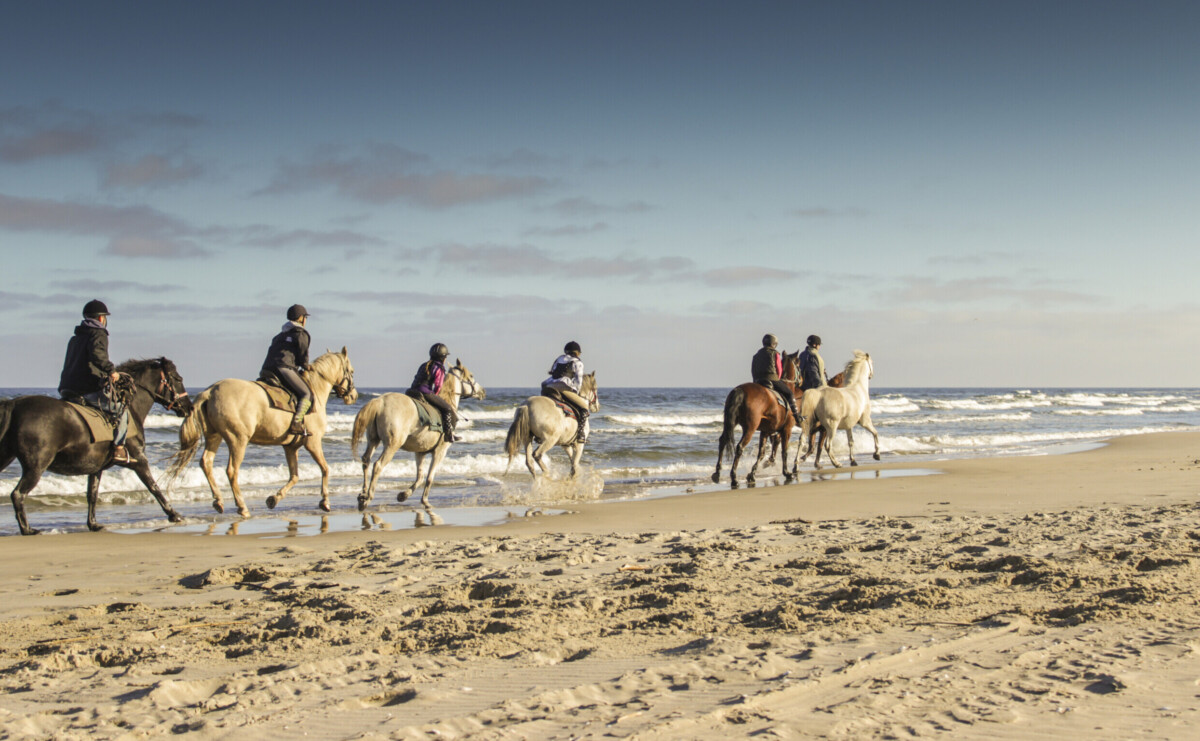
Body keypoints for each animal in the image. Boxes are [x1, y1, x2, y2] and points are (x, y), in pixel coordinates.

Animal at [0, 357, 190, 529]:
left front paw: (93, 524)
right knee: (18, 494)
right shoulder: (139, 460)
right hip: (36, 466)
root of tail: (14, 404)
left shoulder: (96, 467)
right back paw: (28, 530)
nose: (189, 408)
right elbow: (153, 486)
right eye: (178, 379)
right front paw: (174, 515)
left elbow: (92, 494)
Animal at [166, 345, 357, 513]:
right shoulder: (313, 442)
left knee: (206, 462)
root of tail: (211, 391)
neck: (315, 390)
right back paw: (241, 506)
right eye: (352, 371)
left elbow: (294, 476)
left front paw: (274, 499)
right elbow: (325, 468)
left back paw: (219, 500)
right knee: (232, 470)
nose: (353, 396)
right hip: (238, 440)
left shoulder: (291, 447)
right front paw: (325, 501)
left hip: (214, 436)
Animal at [350, 357, 484, 508]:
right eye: (471, 376)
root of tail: (380, 401)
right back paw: (368, 497)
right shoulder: (440, 451)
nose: (483, 392)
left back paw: (362, 496)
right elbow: (430, 477)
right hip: (392, 445)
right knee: (378, 465)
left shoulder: (420, 452)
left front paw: (403, 495)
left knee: (366, 461)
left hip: (373, 440)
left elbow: (420, 476)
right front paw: (425, 500)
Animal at [705, 350, 801, 484]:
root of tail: (739, 390)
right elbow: (784, 451)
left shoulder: (765, 431)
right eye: (799, 364)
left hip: (730, 423)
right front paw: (787, 473)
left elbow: (761, 453)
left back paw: (717, 473)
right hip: (750, 428)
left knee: (723, 441)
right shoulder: (786, 430)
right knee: (739, 447)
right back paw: (733, 477)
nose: (801, 380)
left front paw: (752, 474)